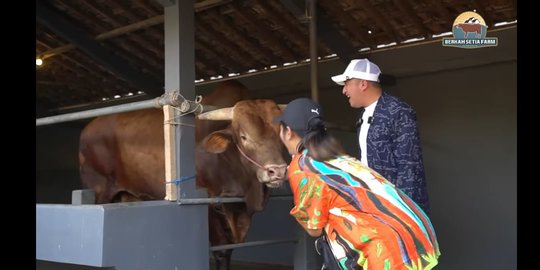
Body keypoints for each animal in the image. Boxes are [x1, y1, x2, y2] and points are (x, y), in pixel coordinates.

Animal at [78, 79, 288, 268]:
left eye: (281, 134)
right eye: (244, 136)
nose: (276, 171)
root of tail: (88, 130)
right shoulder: (210, 202)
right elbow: (221, 251)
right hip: (101, 190)